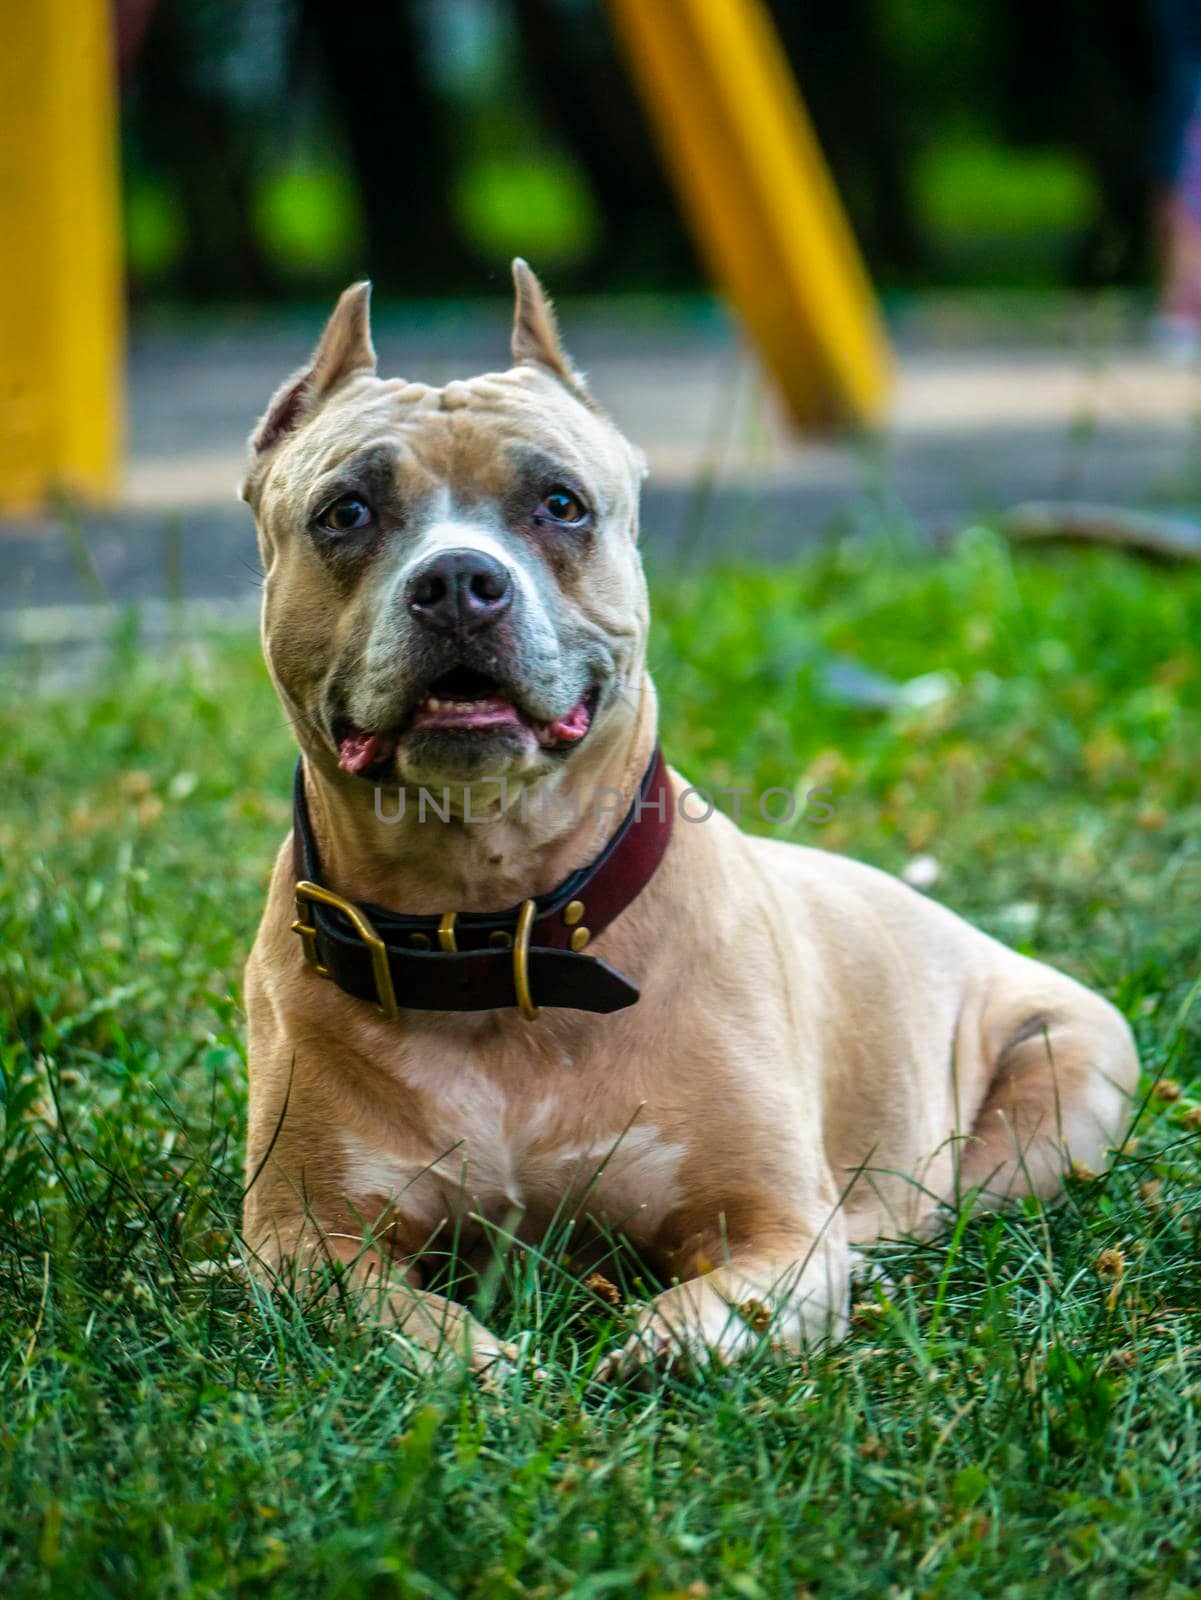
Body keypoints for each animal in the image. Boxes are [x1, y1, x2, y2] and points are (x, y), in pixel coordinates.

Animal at [239, 259, 1138, 1376]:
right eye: (345, 511)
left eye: (561, 503)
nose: (456, 580)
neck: (493, 924)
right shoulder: (299, 1238)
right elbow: (392, 1320)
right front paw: (477, 1362)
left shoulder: (772, 1224)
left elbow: (737, 1294)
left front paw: (660, 1341)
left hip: (1065, 1069)